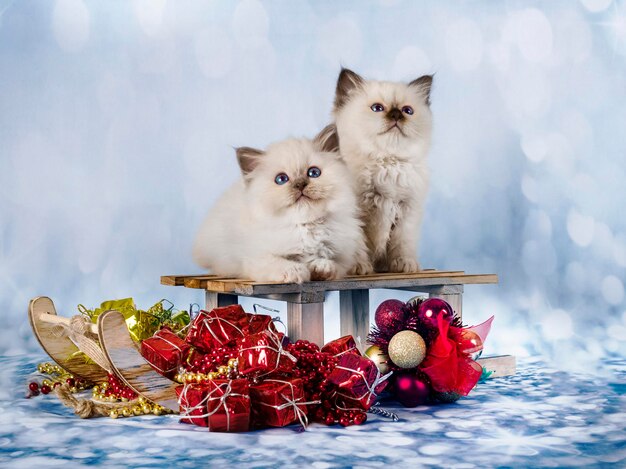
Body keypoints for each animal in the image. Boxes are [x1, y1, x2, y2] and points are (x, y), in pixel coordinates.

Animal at [191, 128, 370, 282]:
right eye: (281, 179)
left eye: (313, 173)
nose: (300, 184)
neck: (305, 226)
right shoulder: (256, 258)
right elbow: (280, 263)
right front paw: (297, 272)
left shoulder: (341, 258)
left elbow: (329, 264)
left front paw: (320, 268)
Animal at [330, 68, 432, 272]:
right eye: (377, 108)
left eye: (407, 111)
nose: (396, 115)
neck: (387, 163)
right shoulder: (355, 215)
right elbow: (358, 244)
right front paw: (359, 267)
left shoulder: (407, 212)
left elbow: (402, 243)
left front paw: (404, 265)